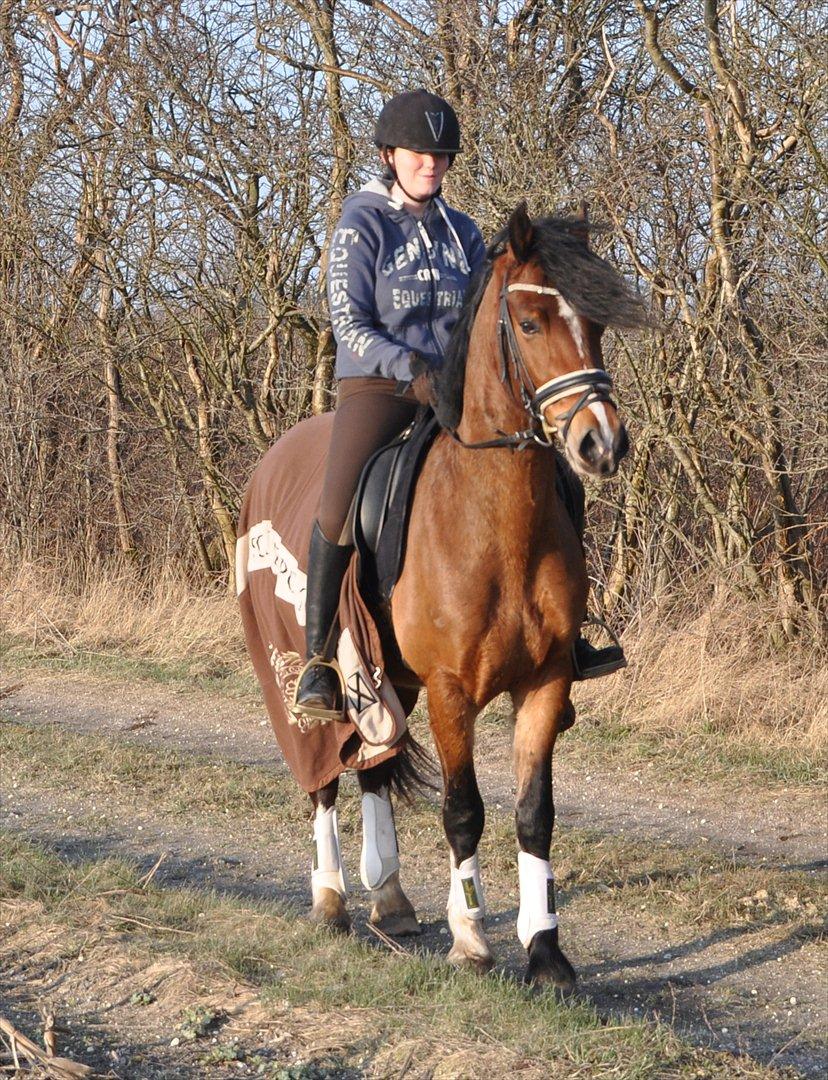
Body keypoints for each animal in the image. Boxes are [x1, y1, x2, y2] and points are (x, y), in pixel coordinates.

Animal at [252, 203, 647, 989]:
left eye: (596, 322)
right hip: (318, 681)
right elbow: (464, 810)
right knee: (324, 780)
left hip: (383, 680)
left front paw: (546, 950)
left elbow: (534, 814)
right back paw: (331, 898)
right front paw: (471, 937)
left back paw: (391, 899)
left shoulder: (545, 683)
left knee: (373, 771)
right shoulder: (450, 690)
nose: (601, 444)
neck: (494, 521)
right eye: (529, 322)